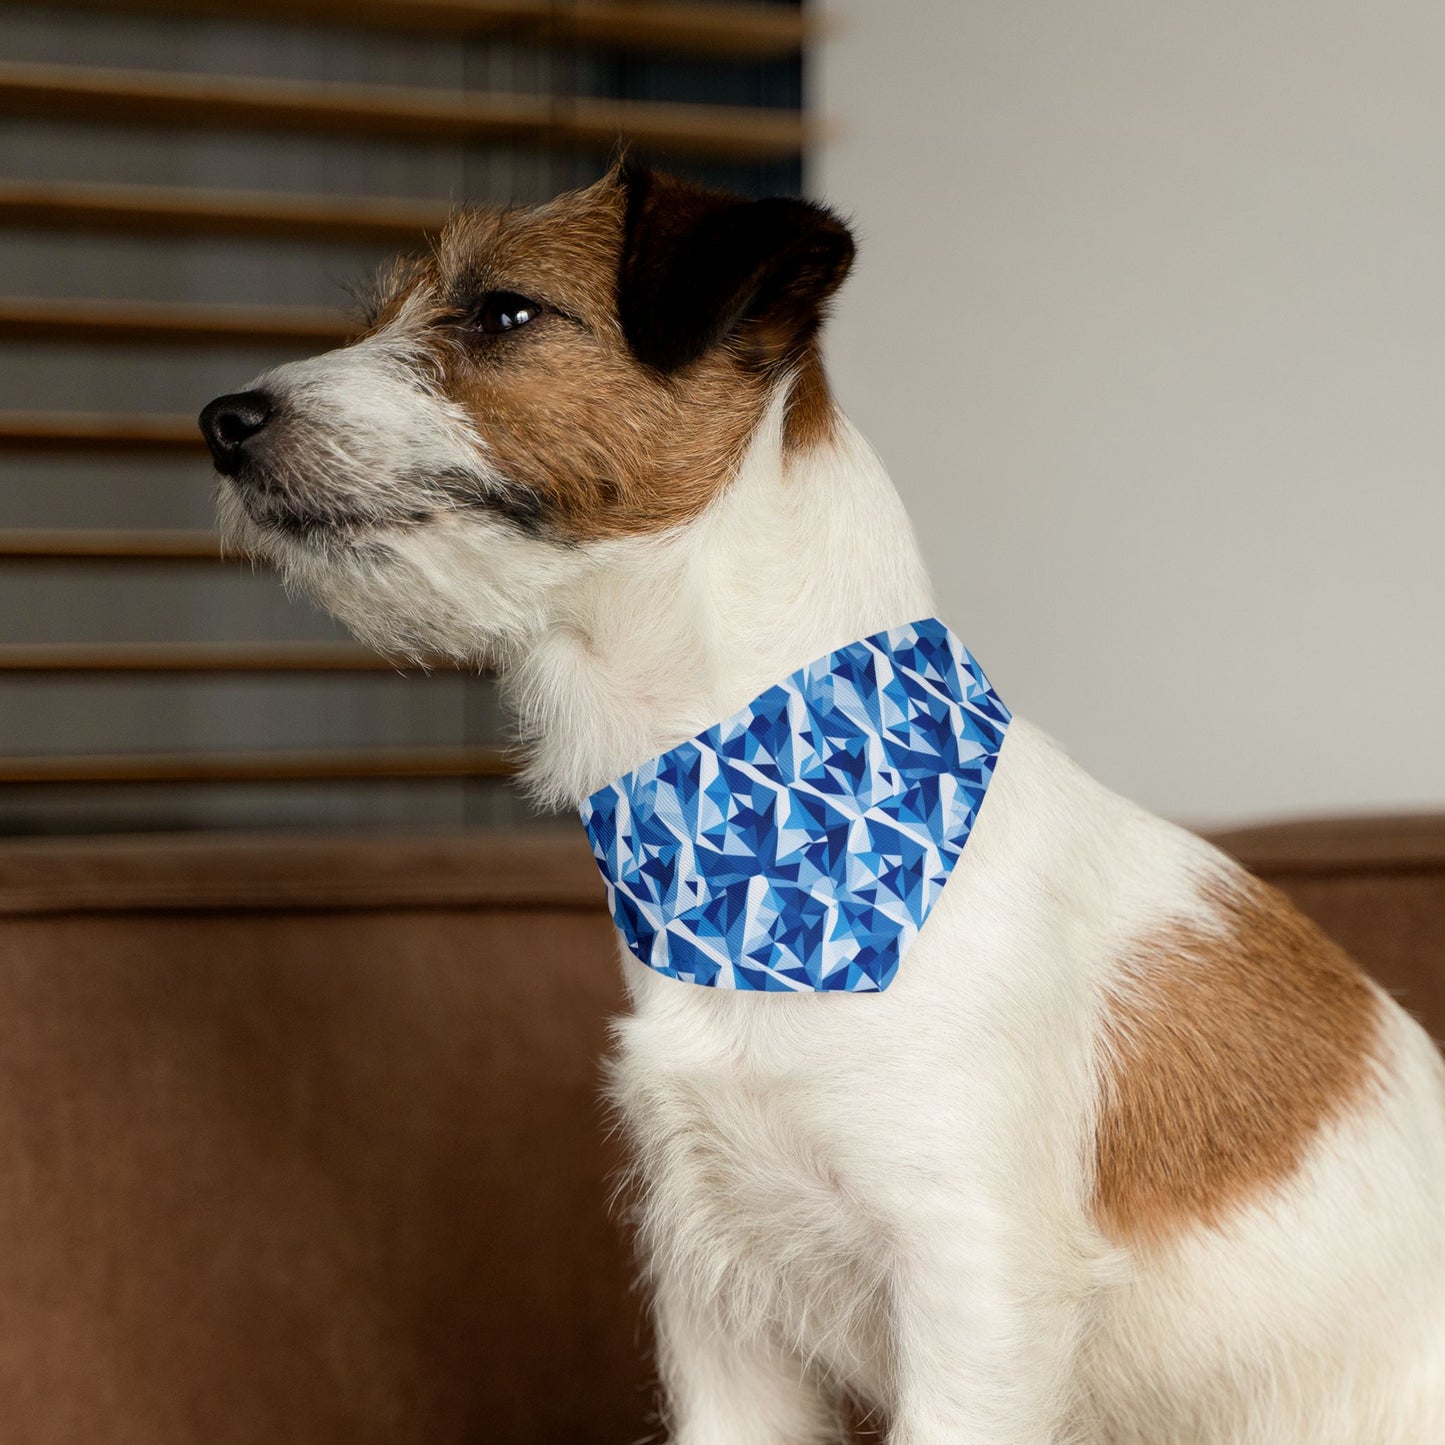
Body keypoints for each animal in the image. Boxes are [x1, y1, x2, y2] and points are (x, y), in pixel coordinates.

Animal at [200, 166, 1445, 1445]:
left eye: (502, 312)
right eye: (382, 314)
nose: (221, 421)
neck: (765, 835)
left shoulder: (972, 1292)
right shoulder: (717, 1304)